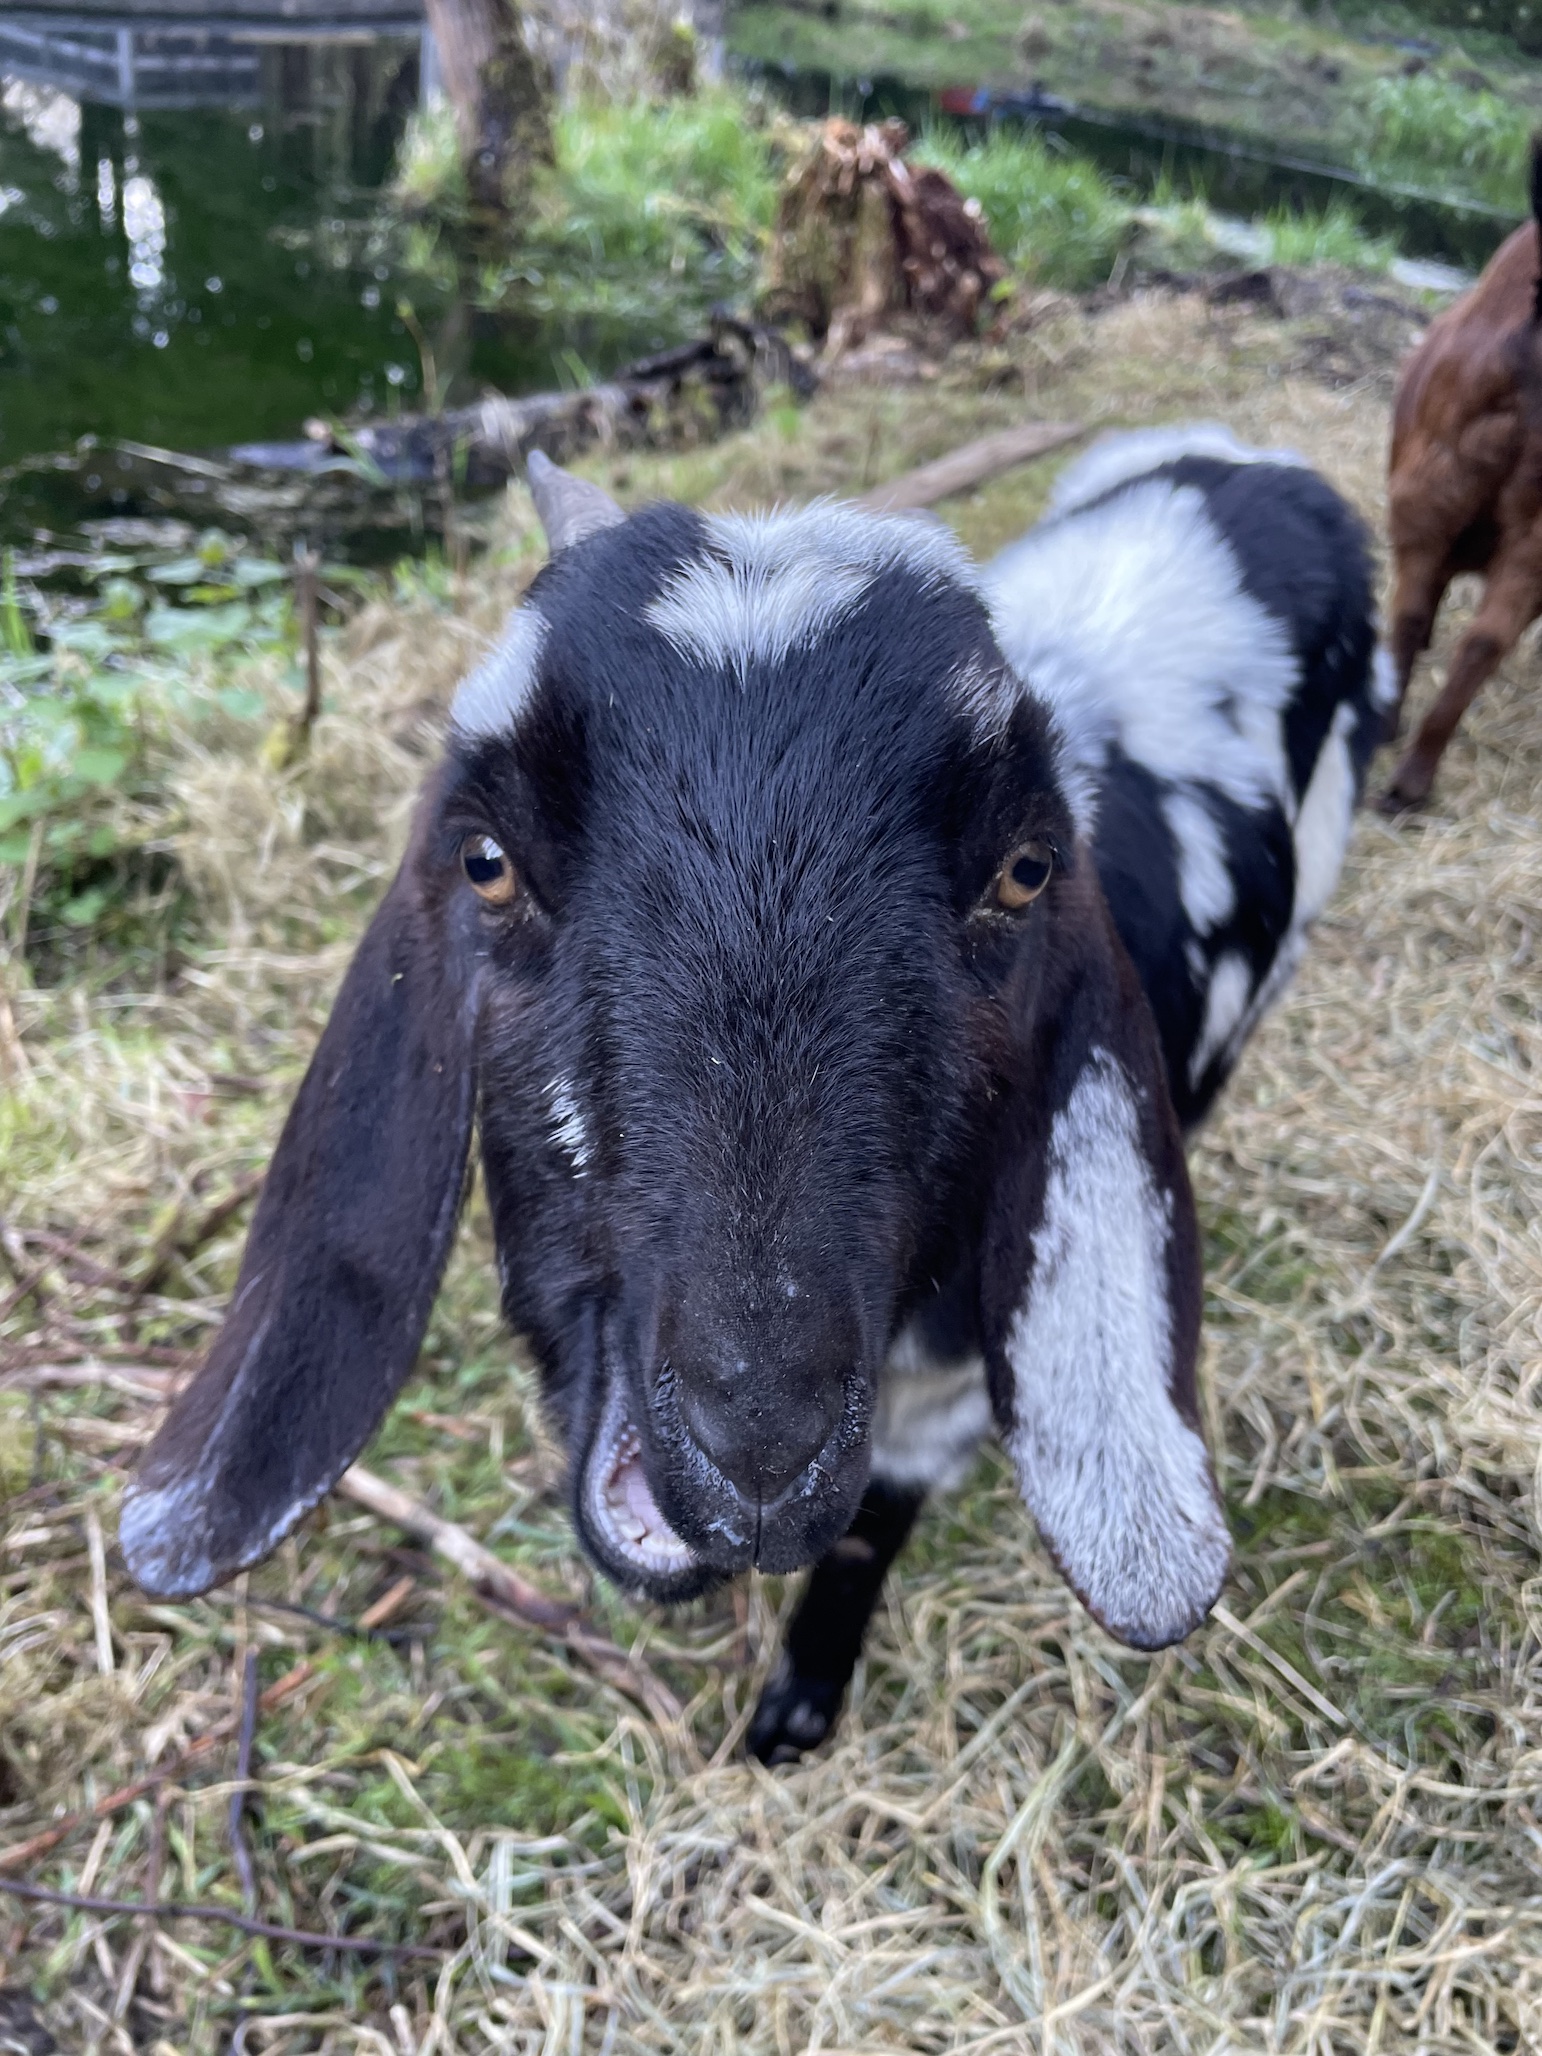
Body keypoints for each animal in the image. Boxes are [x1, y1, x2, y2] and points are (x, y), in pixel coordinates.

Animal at [120, 427, 1387, 1765]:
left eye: (1027, 870)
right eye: (487, 860)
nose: (761, 1445)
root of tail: (1258, 460)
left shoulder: (932, 1405)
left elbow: (871, 1532)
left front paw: (794, 1712)